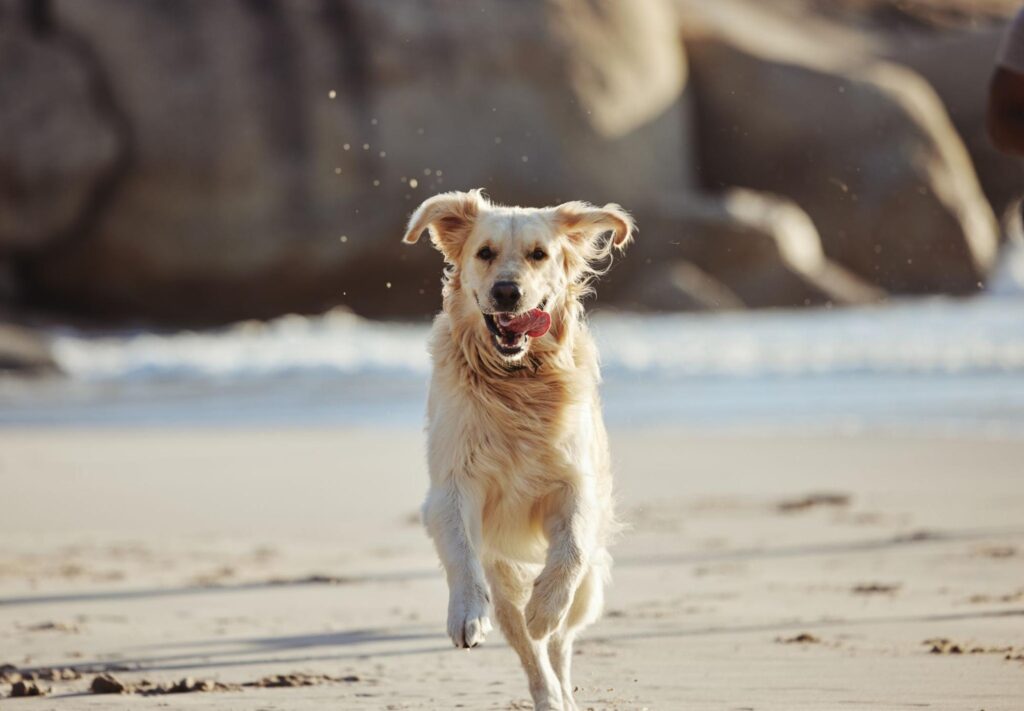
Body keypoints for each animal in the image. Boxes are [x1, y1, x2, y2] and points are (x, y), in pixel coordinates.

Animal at [399, 189, 630, 711]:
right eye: (484, 253)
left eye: (539, 255)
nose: (507, 292)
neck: (516, 381)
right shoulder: (452, 485)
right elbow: (460, 552)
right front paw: (466, 614)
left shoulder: (575, 482)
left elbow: (570, 549)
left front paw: (544, 607)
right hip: (502, 576)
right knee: (528, 648)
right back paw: (547, 694)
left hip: (589, 590)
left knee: (560, 640)